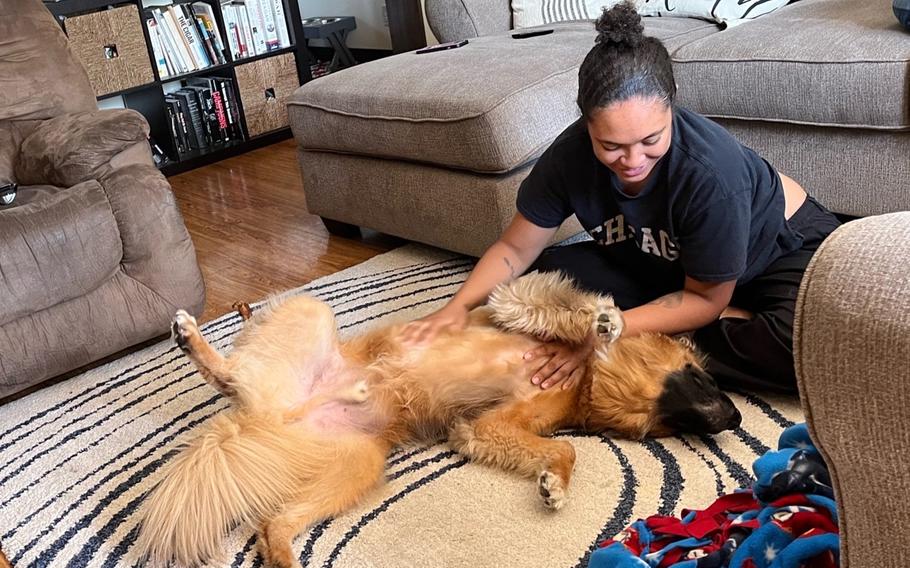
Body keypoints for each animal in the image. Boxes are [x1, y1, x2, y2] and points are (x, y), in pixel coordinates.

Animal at [134, 272, 740, 564]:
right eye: (704, 377)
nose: (737, 417)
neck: (588, 381)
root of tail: (264, 416)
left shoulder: (482, 428)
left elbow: (561, 448)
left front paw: (554, 484)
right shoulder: (508, 298)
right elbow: (556, 311)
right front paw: (602, 320)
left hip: (356, 467)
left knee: (273, 524)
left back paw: (284, 557)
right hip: (311, 312)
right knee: (230, 371)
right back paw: (194, 338)